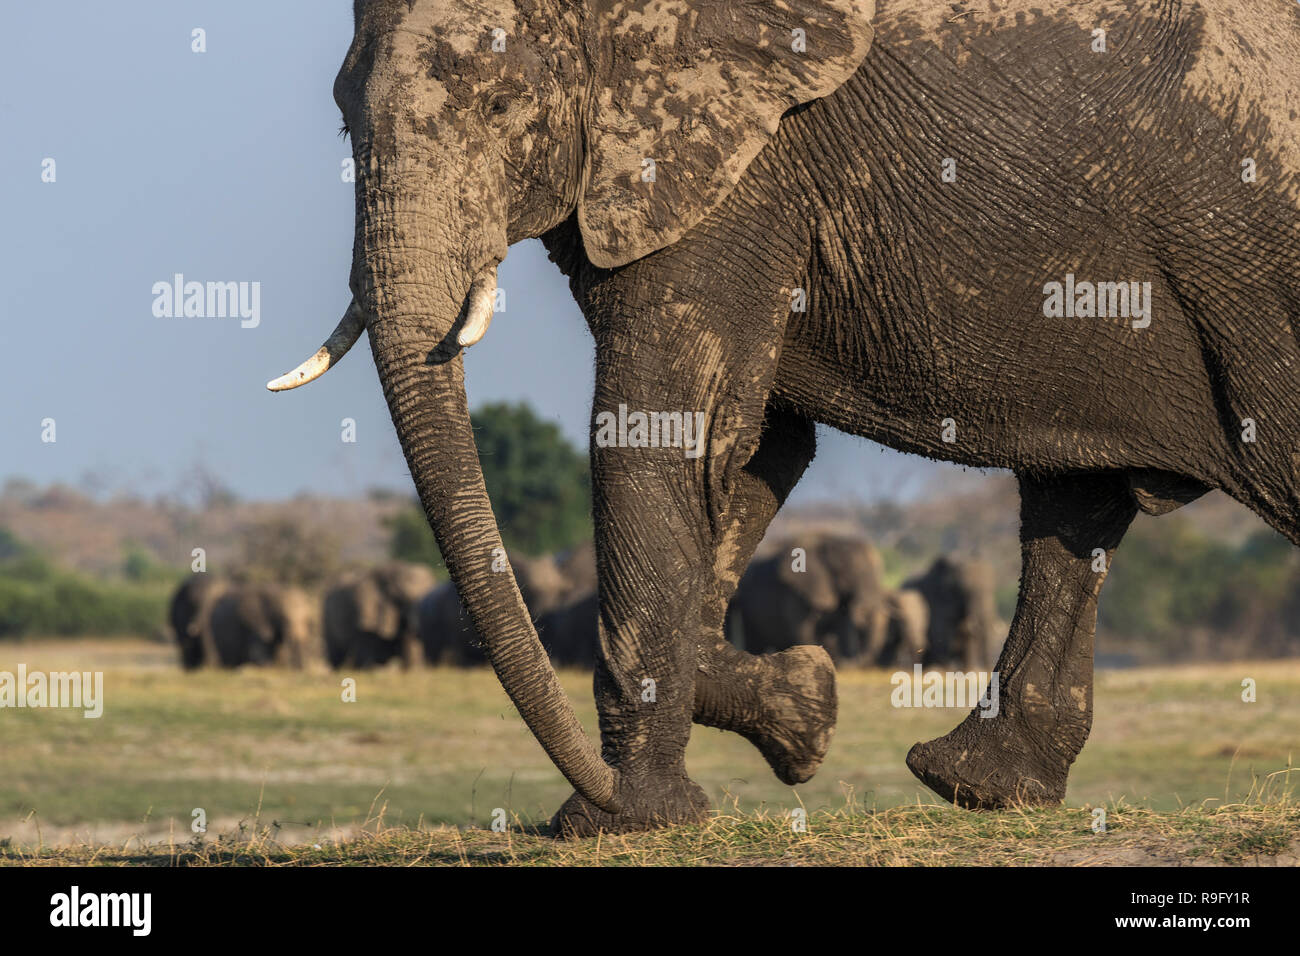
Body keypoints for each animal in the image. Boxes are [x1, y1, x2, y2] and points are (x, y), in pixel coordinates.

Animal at [269, 0, 1300, 832]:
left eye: (497, 107)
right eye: (341, 117)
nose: (586, 793)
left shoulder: (740, 169)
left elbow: (666, 436)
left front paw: (627, 822)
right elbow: (757, 447)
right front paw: (807, 713)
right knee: (1075, 507)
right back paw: (975, 786)